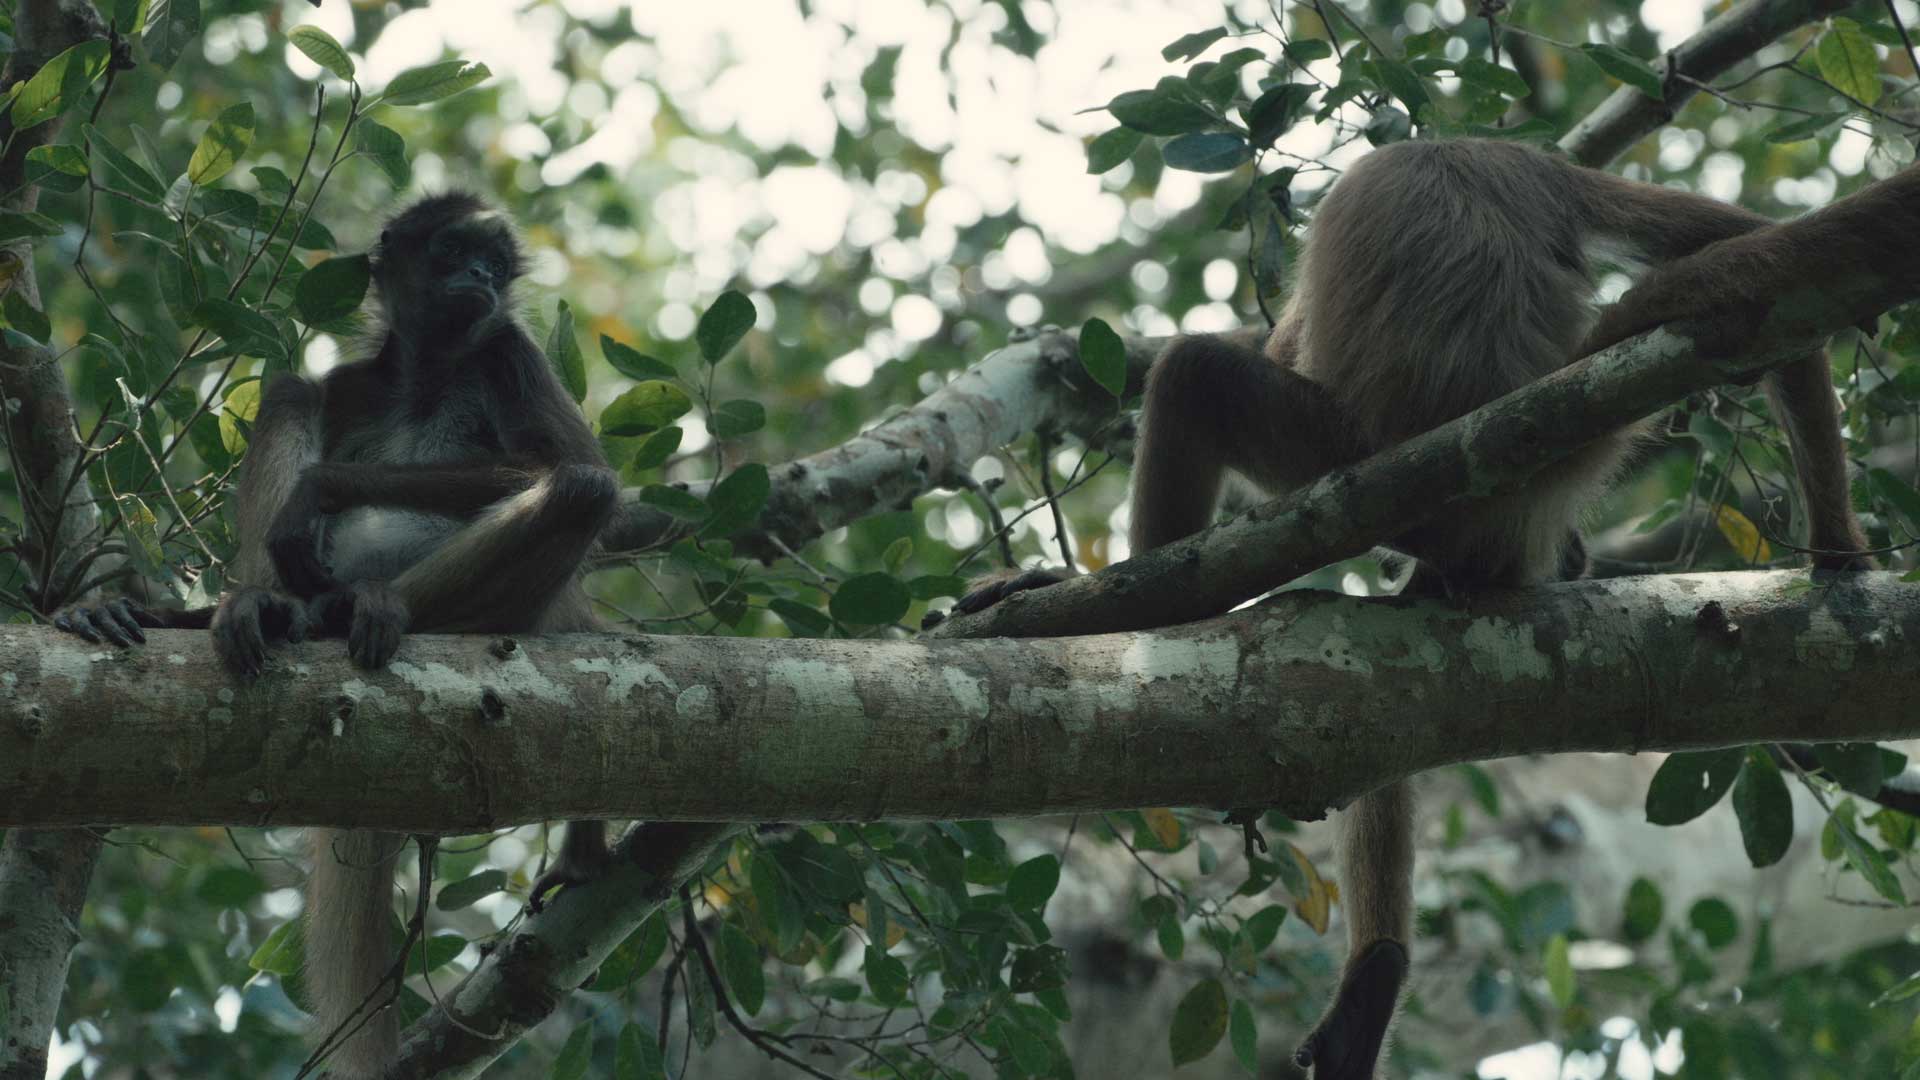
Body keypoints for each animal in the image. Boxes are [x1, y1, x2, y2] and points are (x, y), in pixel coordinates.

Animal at [950, 138, 1881, 1079]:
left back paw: (1136, 607)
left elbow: (1280, 338)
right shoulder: (1545, 169)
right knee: (1376, 707)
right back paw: (1376, 979)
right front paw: (1840, 549)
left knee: (1196, 376)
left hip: (1341, 452)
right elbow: (1755, 248)